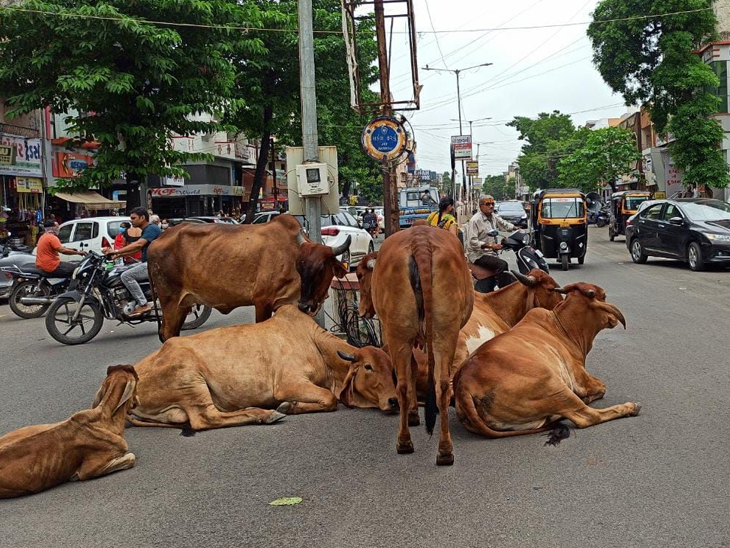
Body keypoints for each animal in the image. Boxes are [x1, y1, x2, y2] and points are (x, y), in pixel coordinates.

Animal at [146, 215, 348, 340]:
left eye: (321, 268)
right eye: (299, 266)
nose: (305, 305)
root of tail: (157, 240)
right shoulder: (262, 301)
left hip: (183, 304)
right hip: (170, 302)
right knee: (168, 334)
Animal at [354, 225, 472, 464]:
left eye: (360, 275)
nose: (361, 310)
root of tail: (421, 242)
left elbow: (413, 370)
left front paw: (413, 414)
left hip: (398, 334)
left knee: (402, 385)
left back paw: (404, 442)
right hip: (445, 332)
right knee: (442, 386)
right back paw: (445, 450)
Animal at [452, 282, 640, 440]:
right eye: (604, 296)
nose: (613, 319)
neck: (564, 328)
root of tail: (464, 385)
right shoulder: (580, 377)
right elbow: (601, 387)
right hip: (554, 385)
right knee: (587, 416)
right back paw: (630, 407)